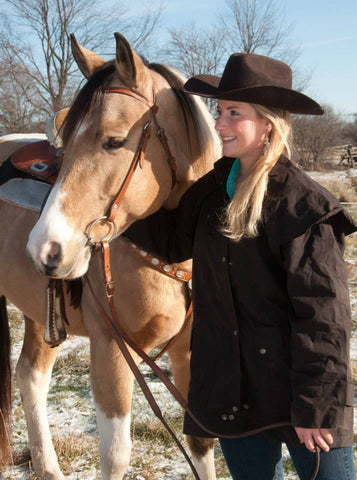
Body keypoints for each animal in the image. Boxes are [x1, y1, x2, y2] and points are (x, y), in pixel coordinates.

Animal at [0, 31, 221, 478]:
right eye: (65, 144)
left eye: (114, 141)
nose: (44, 247)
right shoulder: (111, 348)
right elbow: (116, 454)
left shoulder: (190, 353)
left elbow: (201, 442)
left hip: (41, 315)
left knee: (31, 377)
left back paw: (47, 466)